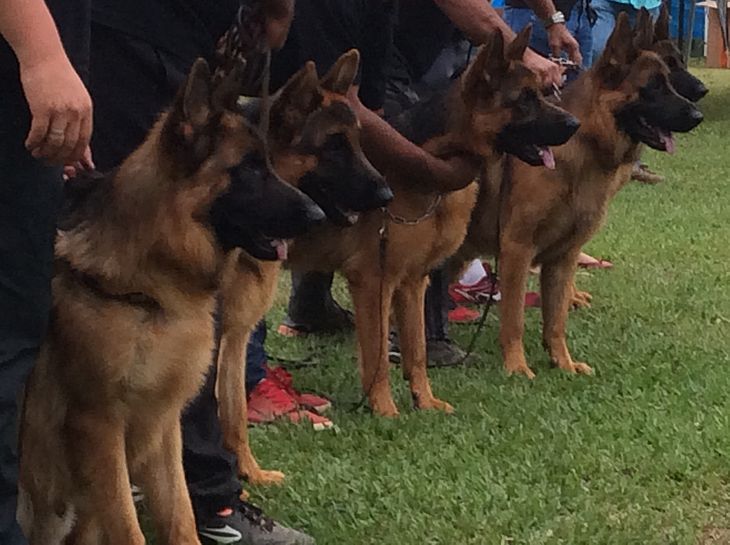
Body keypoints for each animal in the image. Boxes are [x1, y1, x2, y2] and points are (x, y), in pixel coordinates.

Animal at [17, 58, 322, 544]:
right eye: (249, 170)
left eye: (270, 165)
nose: (318, 215)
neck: (148, 292)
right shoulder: (99, 427)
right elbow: (128, 528)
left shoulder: (163, 424)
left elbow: (179, 512)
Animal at [213, 50, 390, 484]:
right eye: (335, 146)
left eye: (358, 141)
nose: (387, 195)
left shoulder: (234, 337)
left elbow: (234, 414)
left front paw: (248, 474)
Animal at [288, 27, 576, 414]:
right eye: (525, 99)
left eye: (542, 94)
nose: (575, 124)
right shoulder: (376, 283)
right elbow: (377, 358)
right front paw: (385, 411)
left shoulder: (413, 282)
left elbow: (417, 351)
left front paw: (424, 402)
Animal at [456, 12, 700, 378]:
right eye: (654, 86)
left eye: (672, 77)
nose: (699, 112)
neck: (584, 142)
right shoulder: (517, 249)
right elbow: (514, 318)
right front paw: (517, 367)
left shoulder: (565, 253)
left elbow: (556, 319)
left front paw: (563, 363)